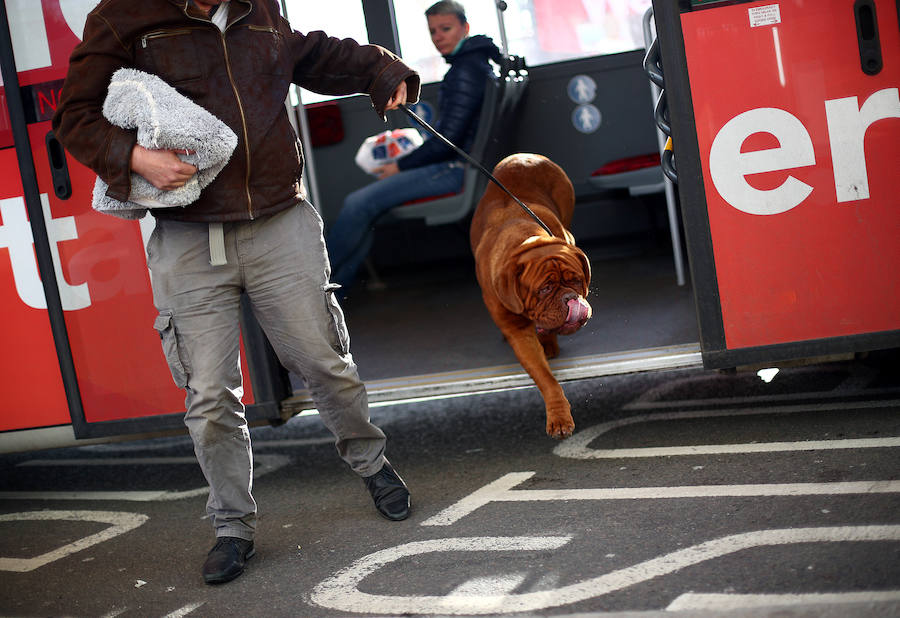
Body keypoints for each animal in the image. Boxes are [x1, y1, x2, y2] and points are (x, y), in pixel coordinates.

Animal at [472, 154, 592, 438]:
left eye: (576, 280)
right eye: (545, 289)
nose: (570, 298)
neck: (525, 241)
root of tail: (524, 156)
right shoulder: (518, 333)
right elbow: (544, 377)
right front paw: (558, 414)